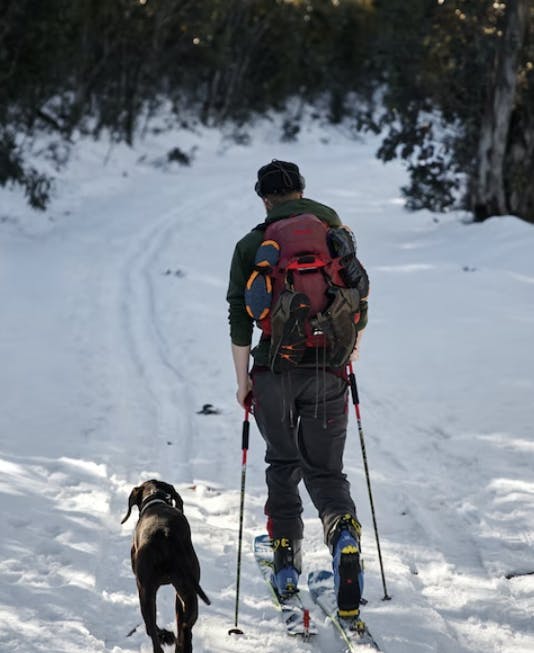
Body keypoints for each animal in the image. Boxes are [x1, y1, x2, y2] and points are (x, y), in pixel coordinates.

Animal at [122, 478, 213, 652]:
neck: (155, 498)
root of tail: (166, 536)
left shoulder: (143, 588)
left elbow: (150, 627)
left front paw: (165, 635)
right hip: (187, 591)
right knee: (185, 625)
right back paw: (183, 644)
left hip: (146, 590)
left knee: (152, 632)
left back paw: (165, 637)